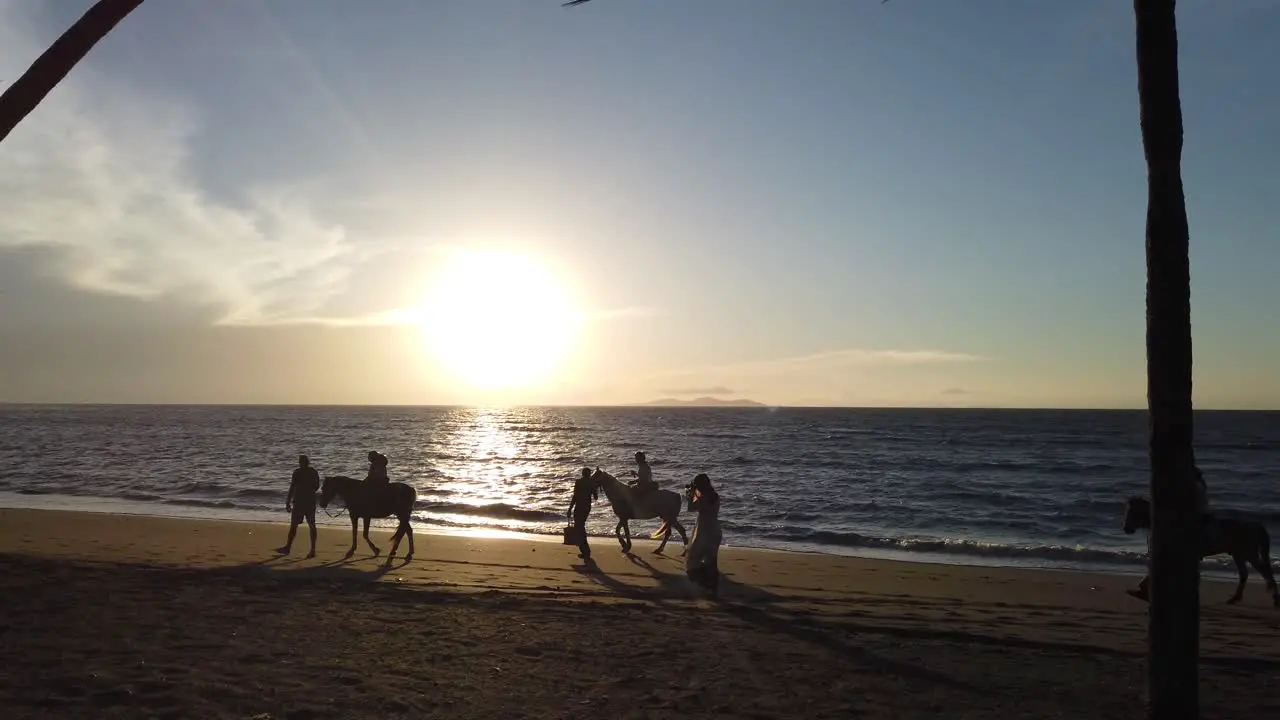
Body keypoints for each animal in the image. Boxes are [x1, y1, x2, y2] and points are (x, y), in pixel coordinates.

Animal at [1126, 491, 1274, 604]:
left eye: (1132, 512)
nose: (1126, 528)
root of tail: (1255, 526)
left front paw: (1142, 590)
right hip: (1239, 555)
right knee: (1245, 574)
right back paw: (1234, 599)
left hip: (1249, 554)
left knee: (1265, 572)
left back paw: (1275, 600)